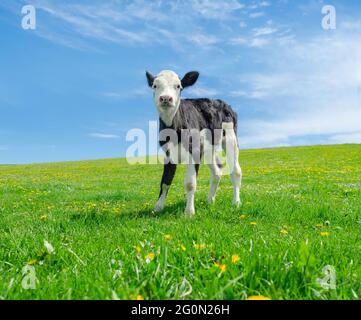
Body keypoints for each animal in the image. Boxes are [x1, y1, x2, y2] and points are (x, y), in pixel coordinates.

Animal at [145, 70, 240, 215]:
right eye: (155, 86)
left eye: (178, 86)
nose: (166, 98)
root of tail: (221, 102)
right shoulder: (168, 153)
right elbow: (165, 182)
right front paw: (158, 207)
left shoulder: (194, 151)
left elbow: (190, 184)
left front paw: (189, 212)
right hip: (208, 148)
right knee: (217, 172)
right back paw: (210, 200)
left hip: (230, 139)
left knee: (236, 171)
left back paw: (236, 202)